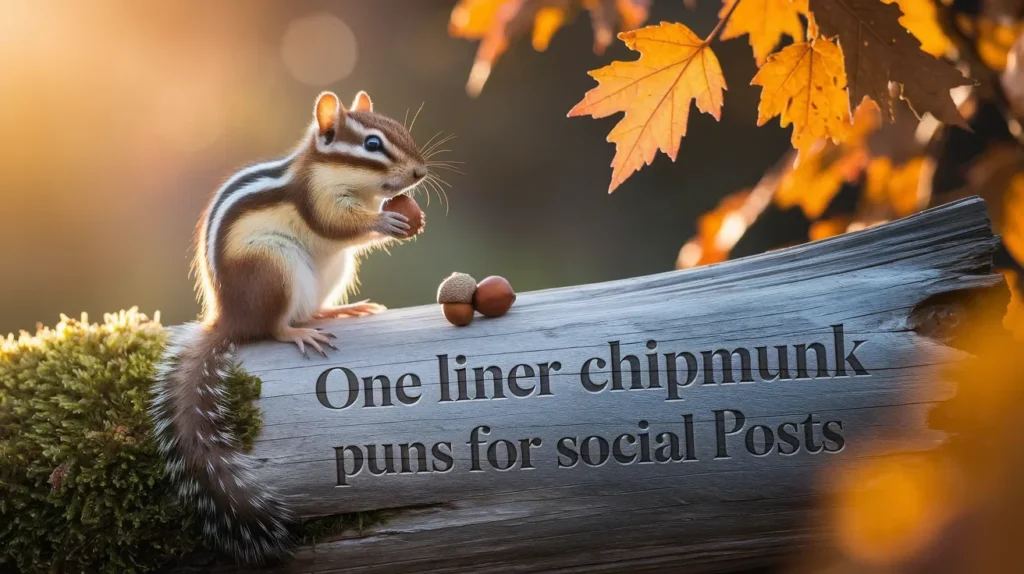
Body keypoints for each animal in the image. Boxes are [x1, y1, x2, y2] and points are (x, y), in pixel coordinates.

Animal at [150, 90, 427, 564]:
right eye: (372, 145)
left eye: (402, 131)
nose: (420, 173)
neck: (346, 181)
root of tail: (229, 319)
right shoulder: (316, 199)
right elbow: (336, 224)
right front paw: (384, 221)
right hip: (275, 267)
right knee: (275, 328)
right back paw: (299, 333)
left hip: (331, 272)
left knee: (307, 309)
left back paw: (336, 313)